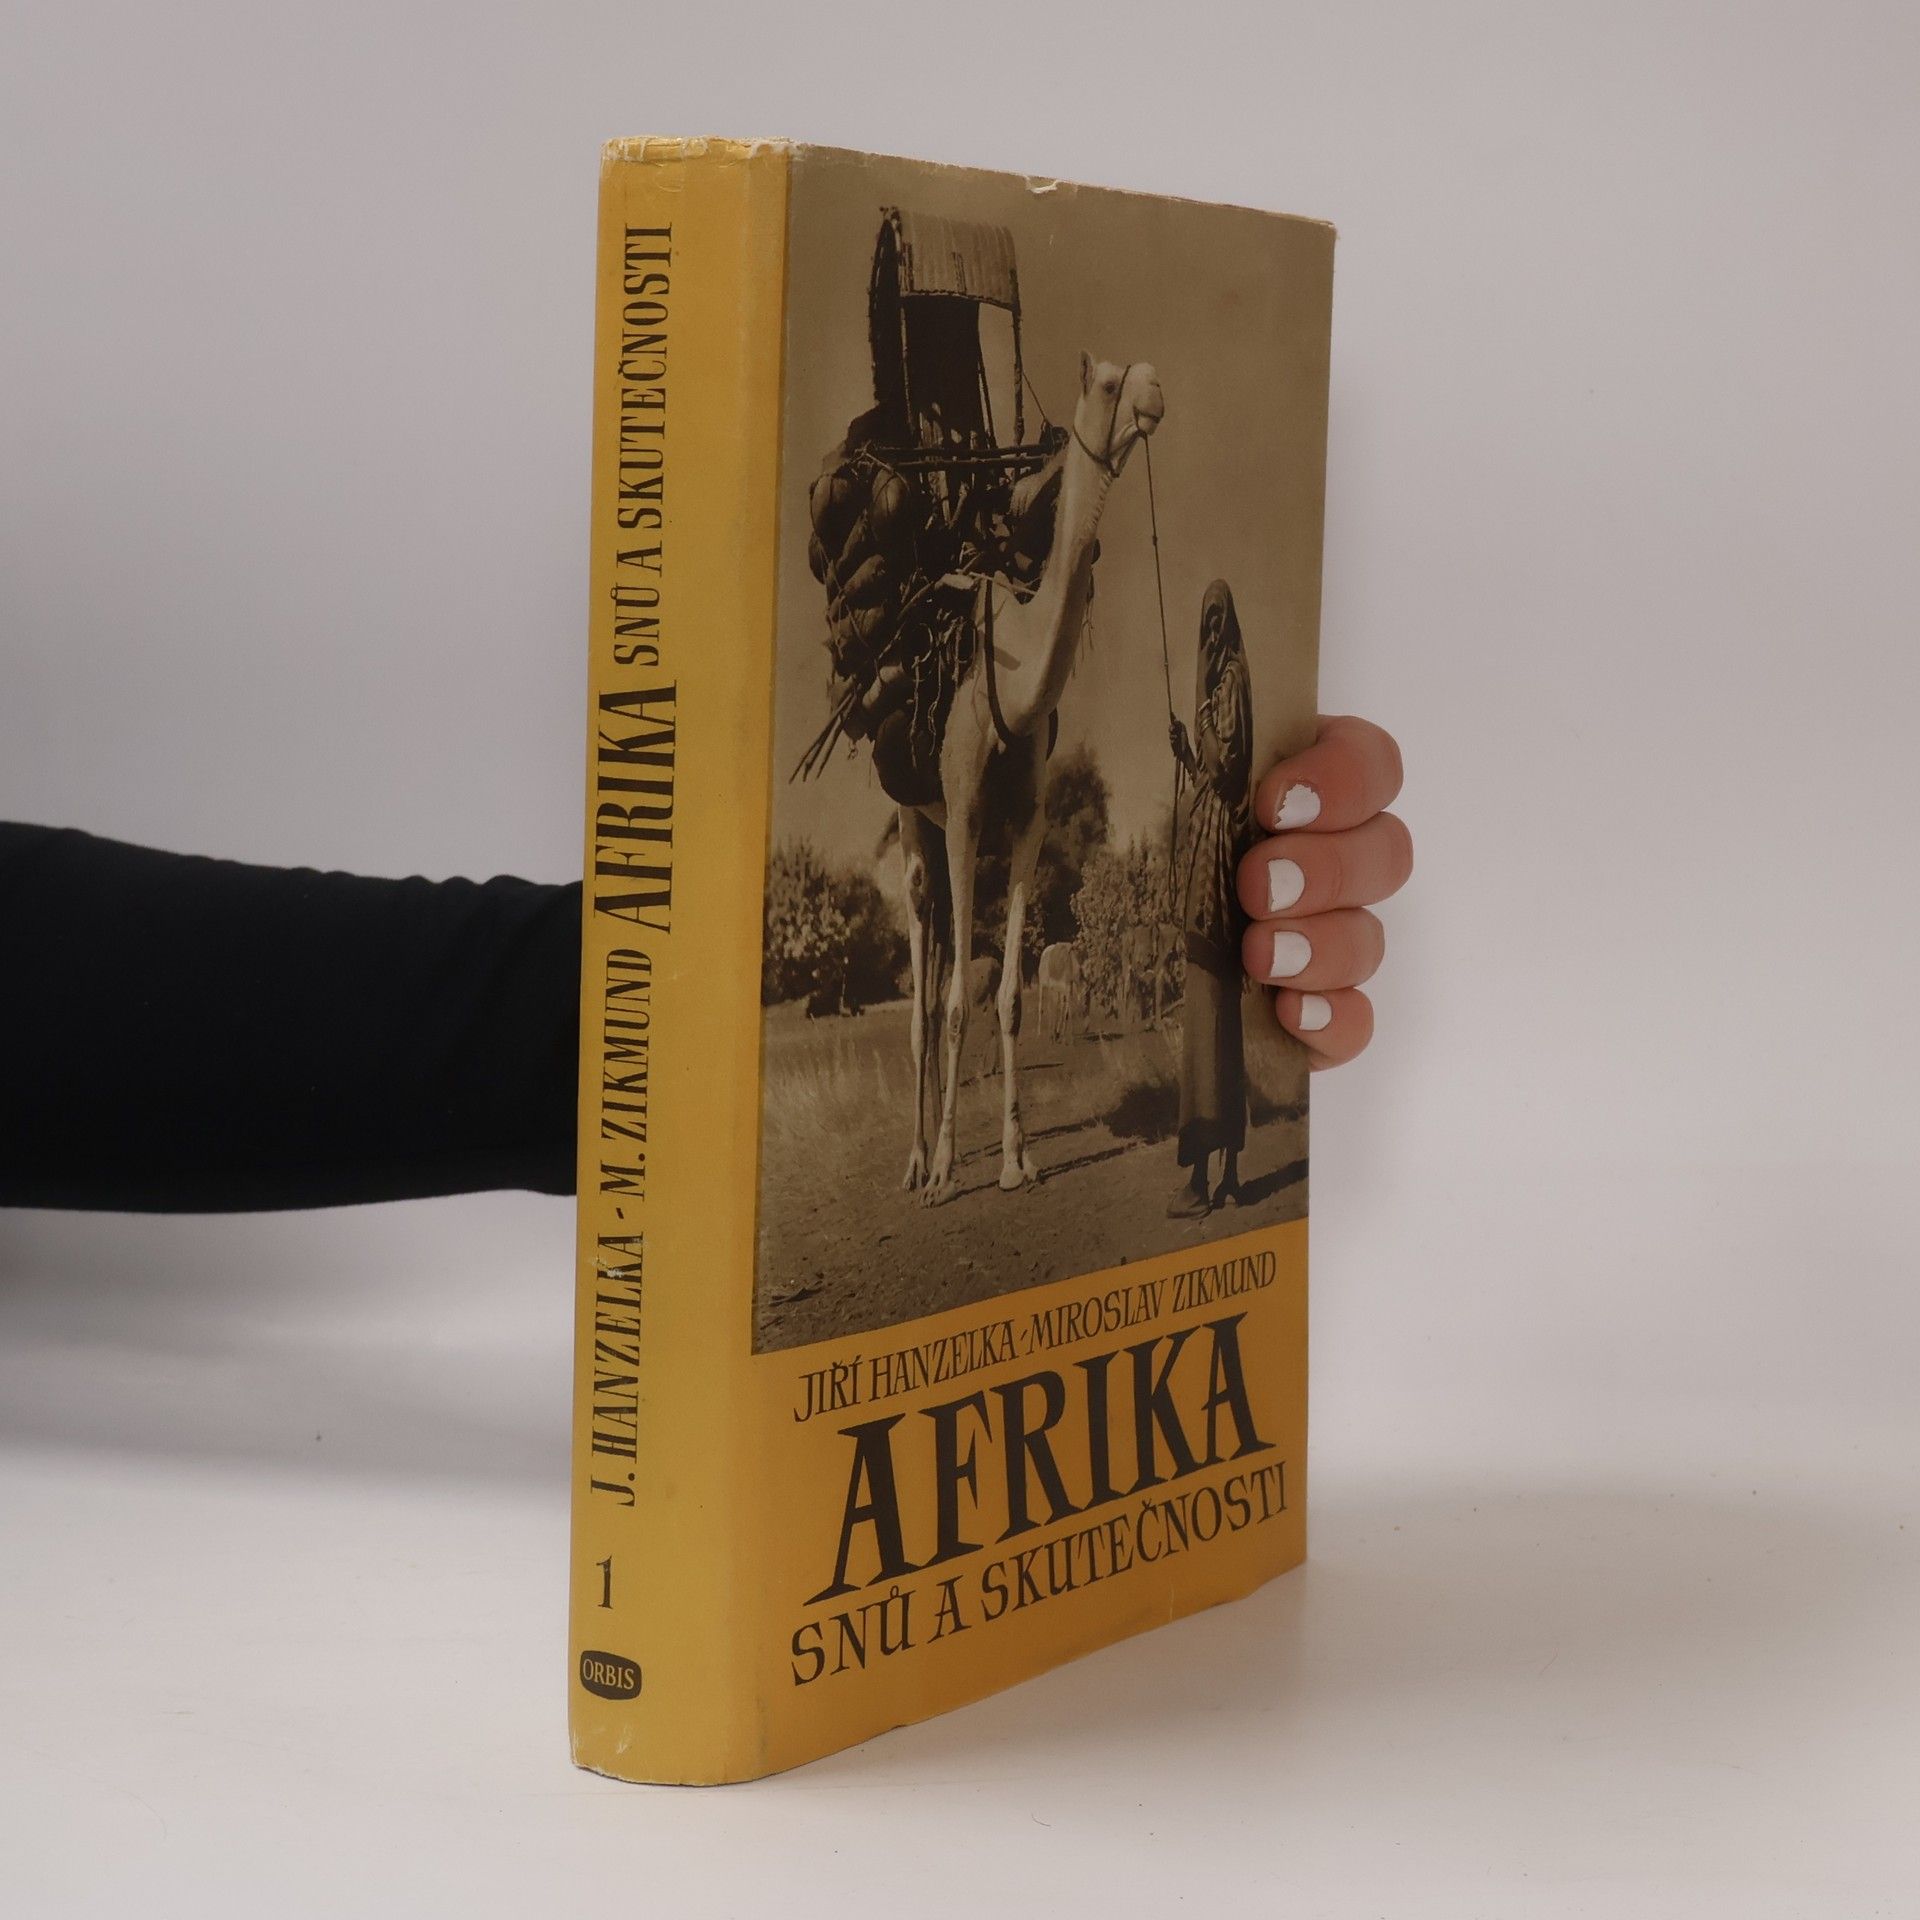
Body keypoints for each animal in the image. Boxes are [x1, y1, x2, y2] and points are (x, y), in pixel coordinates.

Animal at [899, 354, 1164, 1204]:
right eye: (1108, 383)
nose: (1154, 391)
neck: (1011, 690)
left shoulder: (1025, 824)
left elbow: (1010, 997)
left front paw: (1016, 1160)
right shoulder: (963, 808)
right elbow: (956, 1004)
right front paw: (947, 1171)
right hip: (915, 816)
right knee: (922, 958)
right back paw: (915, 1161)